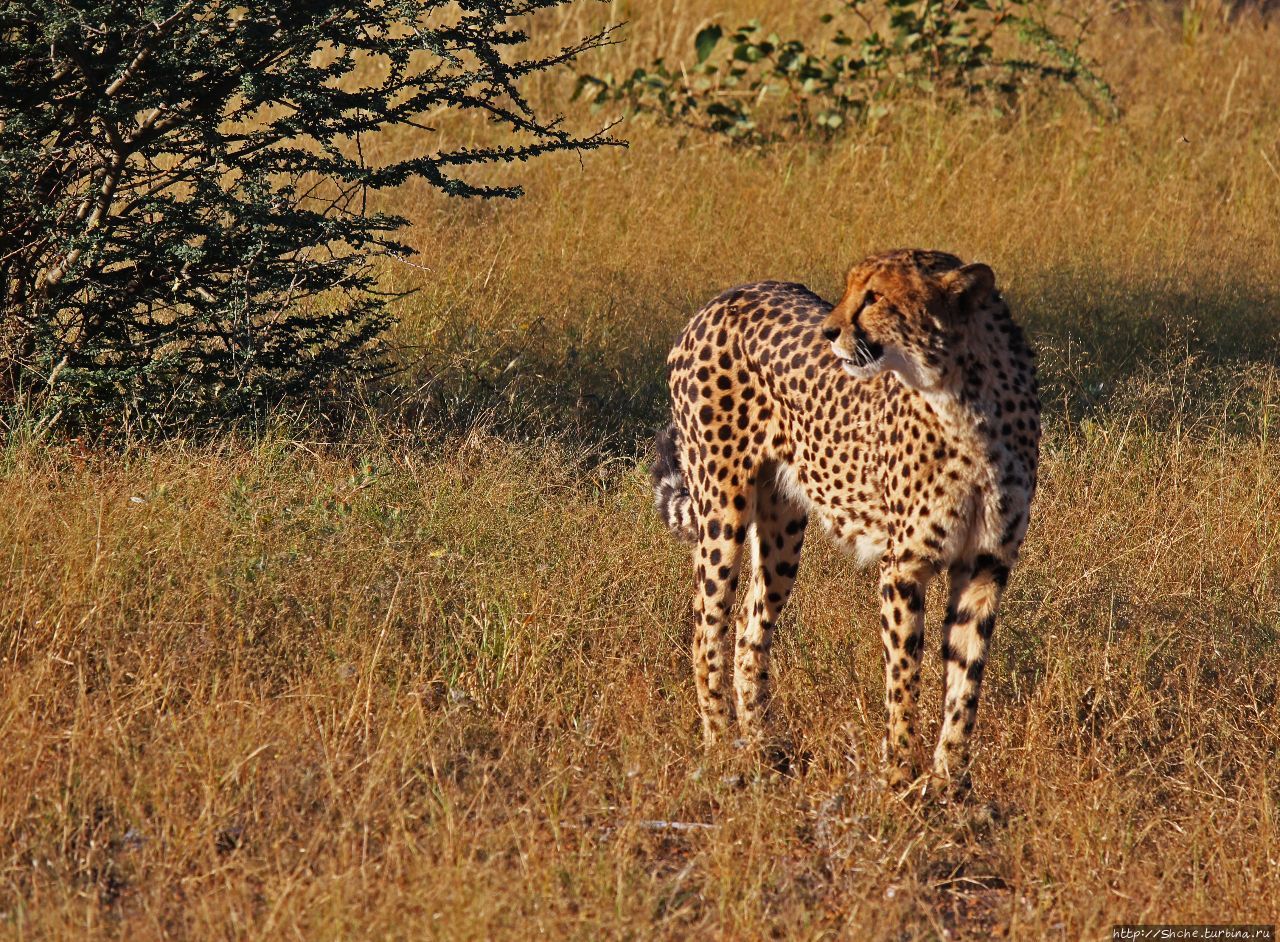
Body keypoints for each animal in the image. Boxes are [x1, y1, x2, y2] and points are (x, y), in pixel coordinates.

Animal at [650, 250, 1039, 793]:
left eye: (874, 296)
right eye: (852, 287)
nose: (830, 331)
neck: (967, 400)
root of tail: (723, 298)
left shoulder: (986, 565)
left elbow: (965, 683)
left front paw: (950, 783)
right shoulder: (904, 567)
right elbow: (903, 677)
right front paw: (900, 778)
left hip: (782, 528)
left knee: (750, 629)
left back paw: (765, 747)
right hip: (722, 512)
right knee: (706, 632)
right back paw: (724, 749)